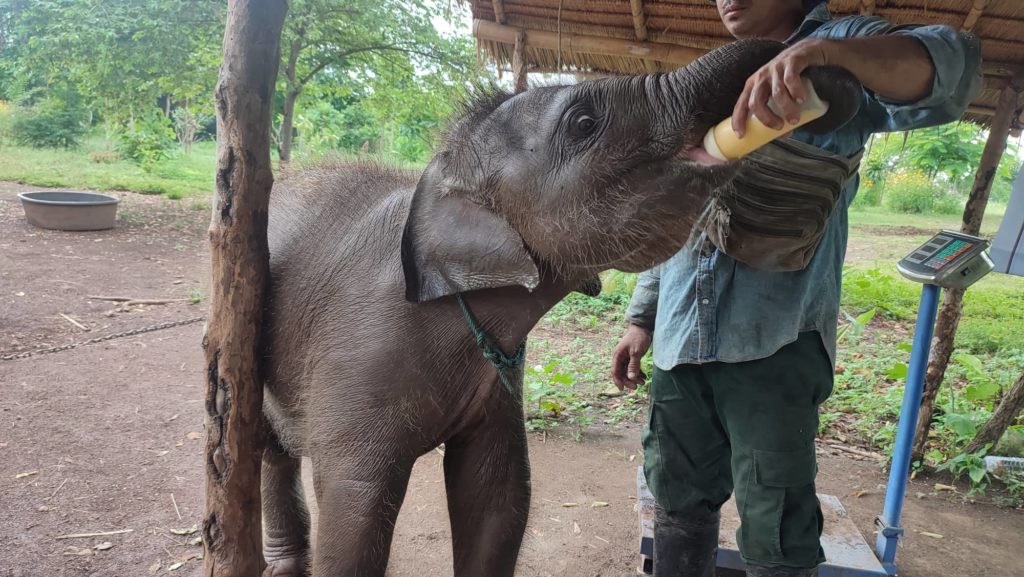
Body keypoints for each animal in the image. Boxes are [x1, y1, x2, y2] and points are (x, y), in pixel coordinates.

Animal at [260, 39, 860, 577]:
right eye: (583, 122)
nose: (804, 74)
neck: (437, 181)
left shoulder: (500, 377)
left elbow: (499, 494)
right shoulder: (358, 359)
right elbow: (355, 513)